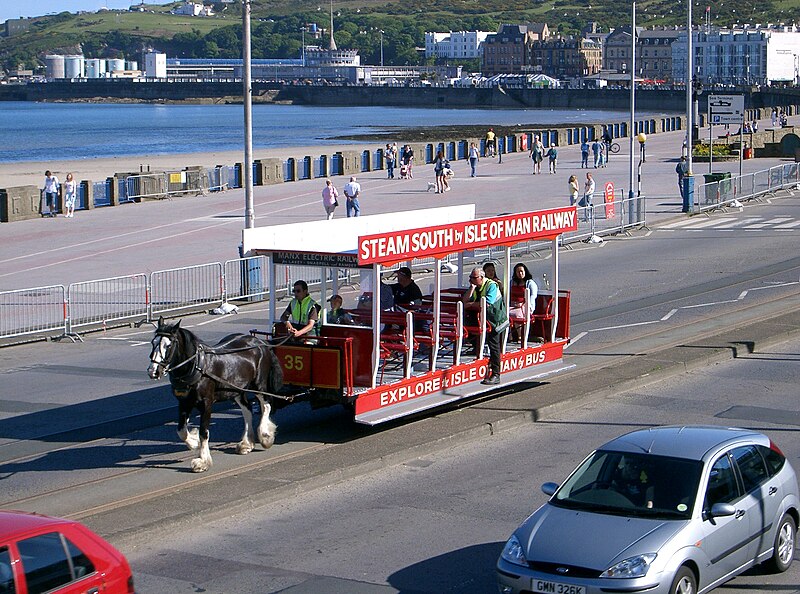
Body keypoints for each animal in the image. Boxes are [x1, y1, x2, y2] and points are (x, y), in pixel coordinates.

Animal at [148, 316, 282, 470]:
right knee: (247, 409)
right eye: (153, 342)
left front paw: (203, 461)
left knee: (266, 405)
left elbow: (204, 432)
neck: (197, 366)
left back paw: (265, 436)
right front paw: (194, 442)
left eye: (168, 346)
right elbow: (181, 430)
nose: (153, 371)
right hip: (237, 390)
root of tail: (260, 342)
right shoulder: (184, 402)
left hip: (258, 385)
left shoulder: (206, 403)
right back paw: (246, 444)